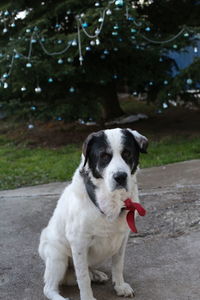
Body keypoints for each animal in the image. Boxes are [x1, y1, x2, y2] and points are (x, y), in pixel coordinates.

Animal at [38, 127, 148, 300]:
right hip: (57, 257)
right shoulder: (78, 243)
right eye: (104, 156)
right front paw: (88, 297)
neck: (110, 200)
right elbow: (83, 279)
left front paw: (120, 286)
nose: (120, 177)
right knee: (49, 288)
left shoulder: (123, 238)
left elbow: (118, 265)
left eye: (127, 153)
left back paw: (96, 274)